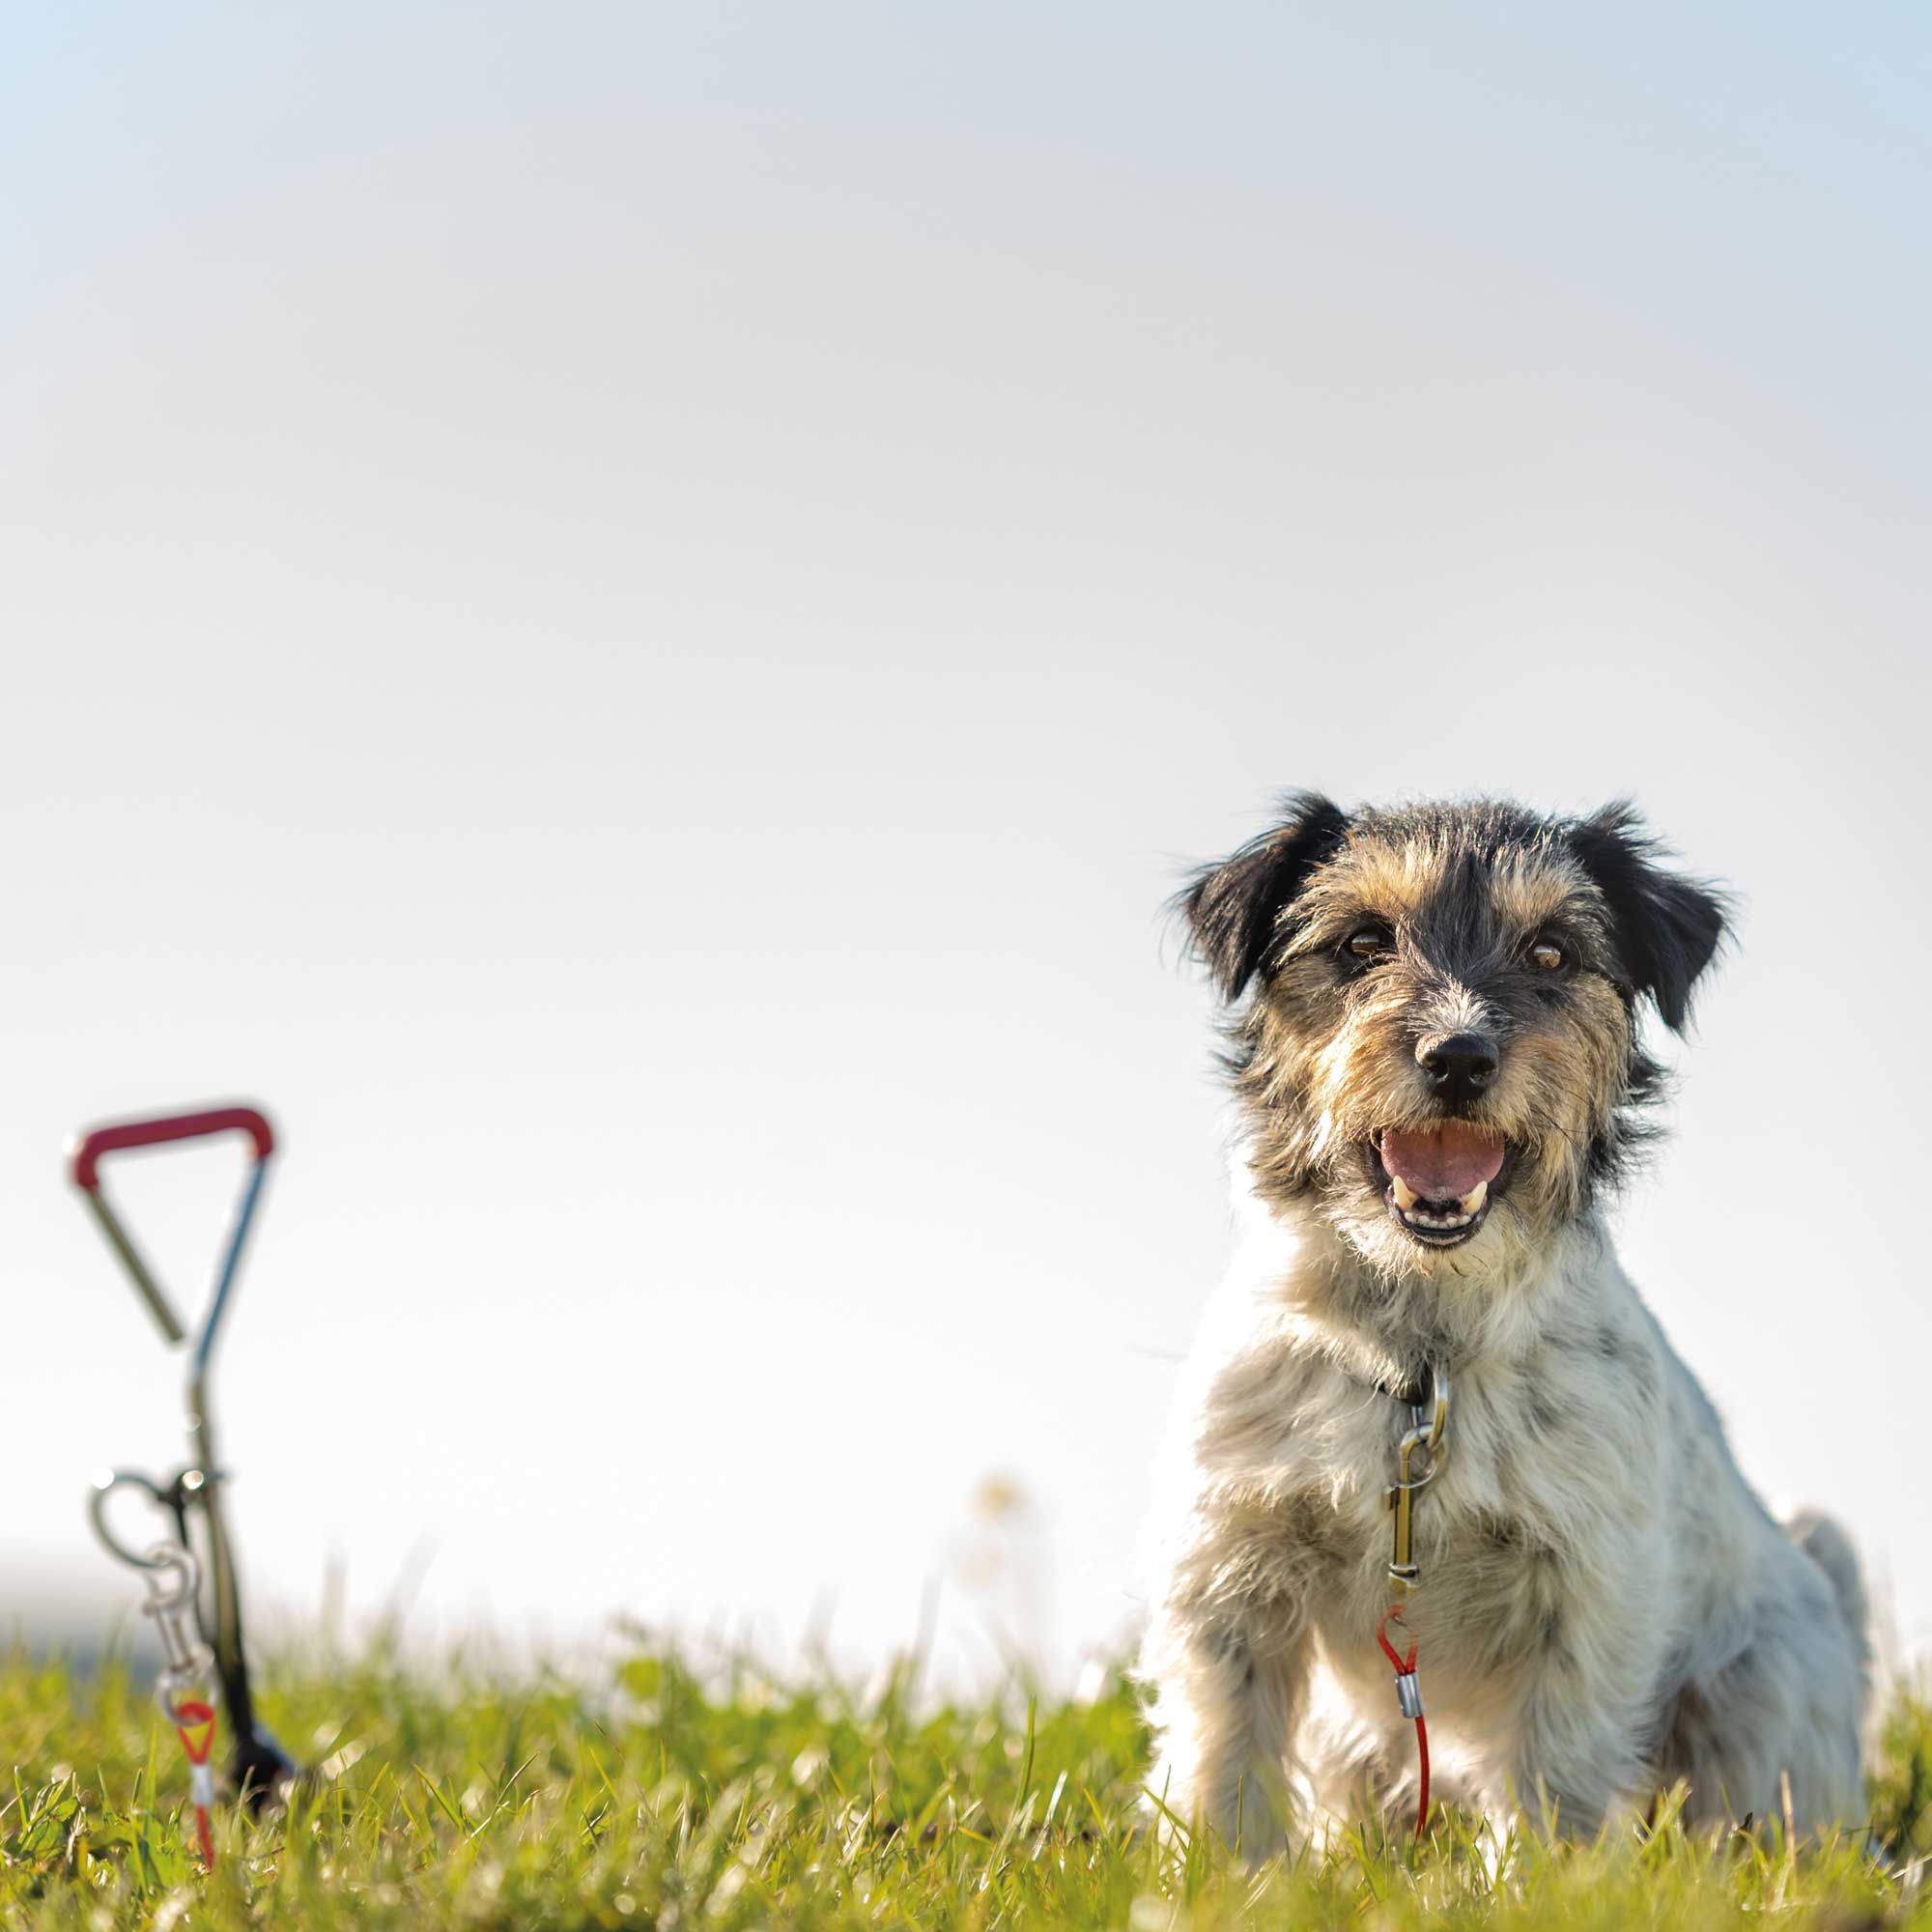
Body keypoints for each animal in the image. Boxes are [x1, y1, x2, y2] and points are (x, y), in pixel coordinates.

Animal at [1136, 796, 1862, 1839]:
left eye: (1551, 950)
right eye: (1362, 941)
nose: (1458, 1057)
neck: (1421, 1351)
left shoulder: (1583, 1604)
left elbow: (1549, 1785)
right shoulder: (1232, 1573)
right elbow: (1222, 1770)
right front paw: (1217, 1871)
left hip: (1755, 1708)